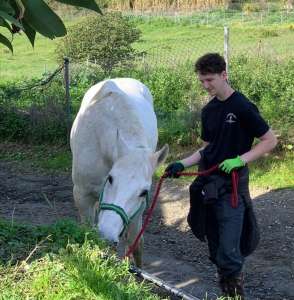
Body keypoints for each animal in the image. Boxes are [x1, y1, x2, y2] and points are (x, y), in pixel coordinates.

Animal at [70, 78, 169, 266]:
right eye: (110, 178)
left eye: (144, 192)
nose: (107, 233)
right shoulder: (82, 196)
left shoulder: (138, 210)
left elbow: (135, 244)